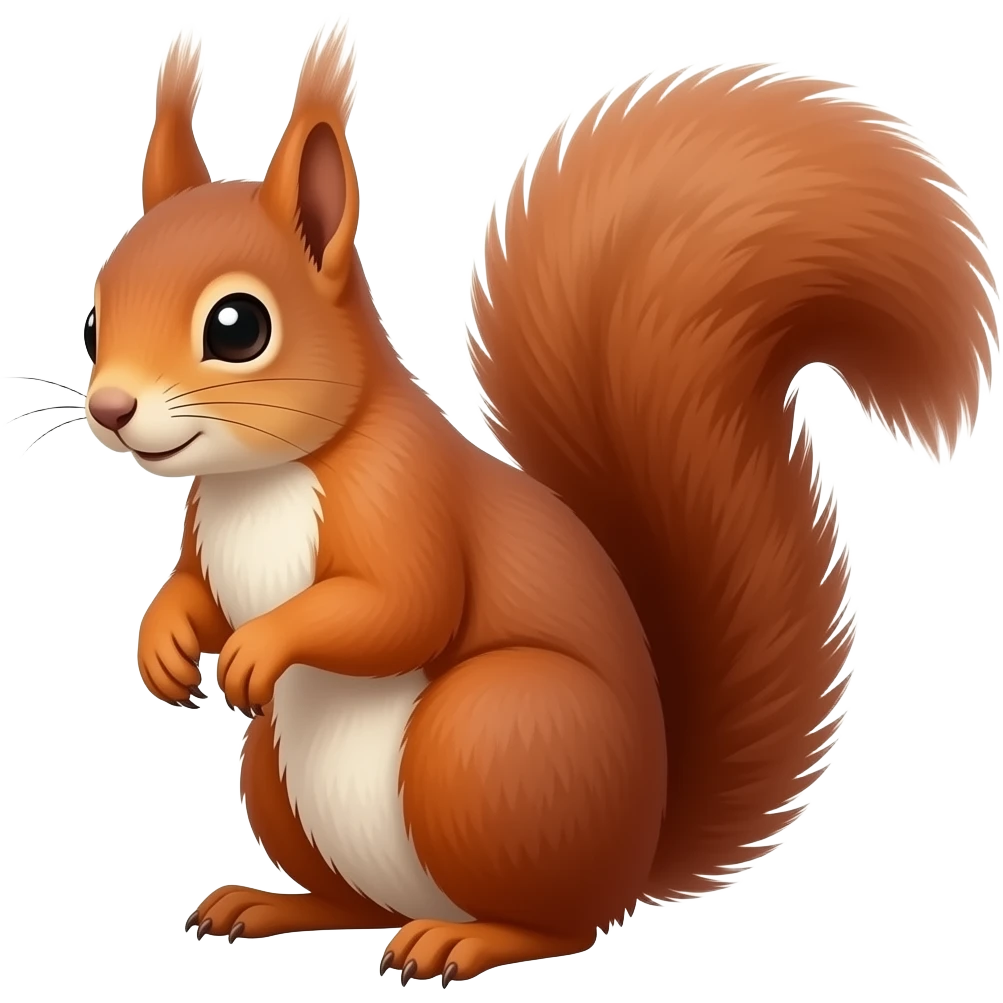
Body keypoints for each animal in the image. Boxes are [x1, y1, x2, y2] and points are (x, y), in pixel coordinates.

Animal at [81, 16, 997, 987]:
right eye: (94, 319)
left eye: (238, 327)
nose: (111, 408)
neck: (264, 478)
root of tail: (635, 855)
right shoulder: (205, 533)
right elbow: (195, 590)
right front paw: (162, 643)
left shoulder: (405, 499)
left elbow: (402, 607)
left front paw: (259, 646)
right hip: (281, 774)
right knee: (357, 903)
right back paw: (272, 903)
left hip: (492, 738)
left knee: (561, 923)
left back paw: (467, 940)